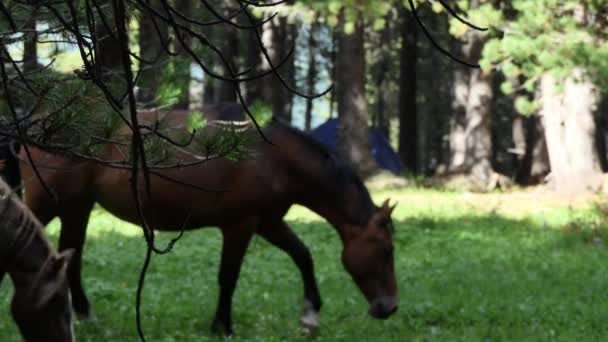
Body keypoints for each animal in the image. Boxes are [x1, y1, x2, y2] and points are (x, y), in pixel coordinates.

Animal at [19, 103, 400, 336]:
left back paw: (84, 316)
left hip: (77, 207)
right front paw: (222, 326)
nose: (390, 308)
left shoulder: (268, 222)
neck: (275, 158)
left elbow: (303, 256)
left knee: (71, 257)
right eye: (386, 251)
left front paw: (310, 314)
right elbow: (228, 277)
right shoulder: (241, 225)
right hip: (47, 204)